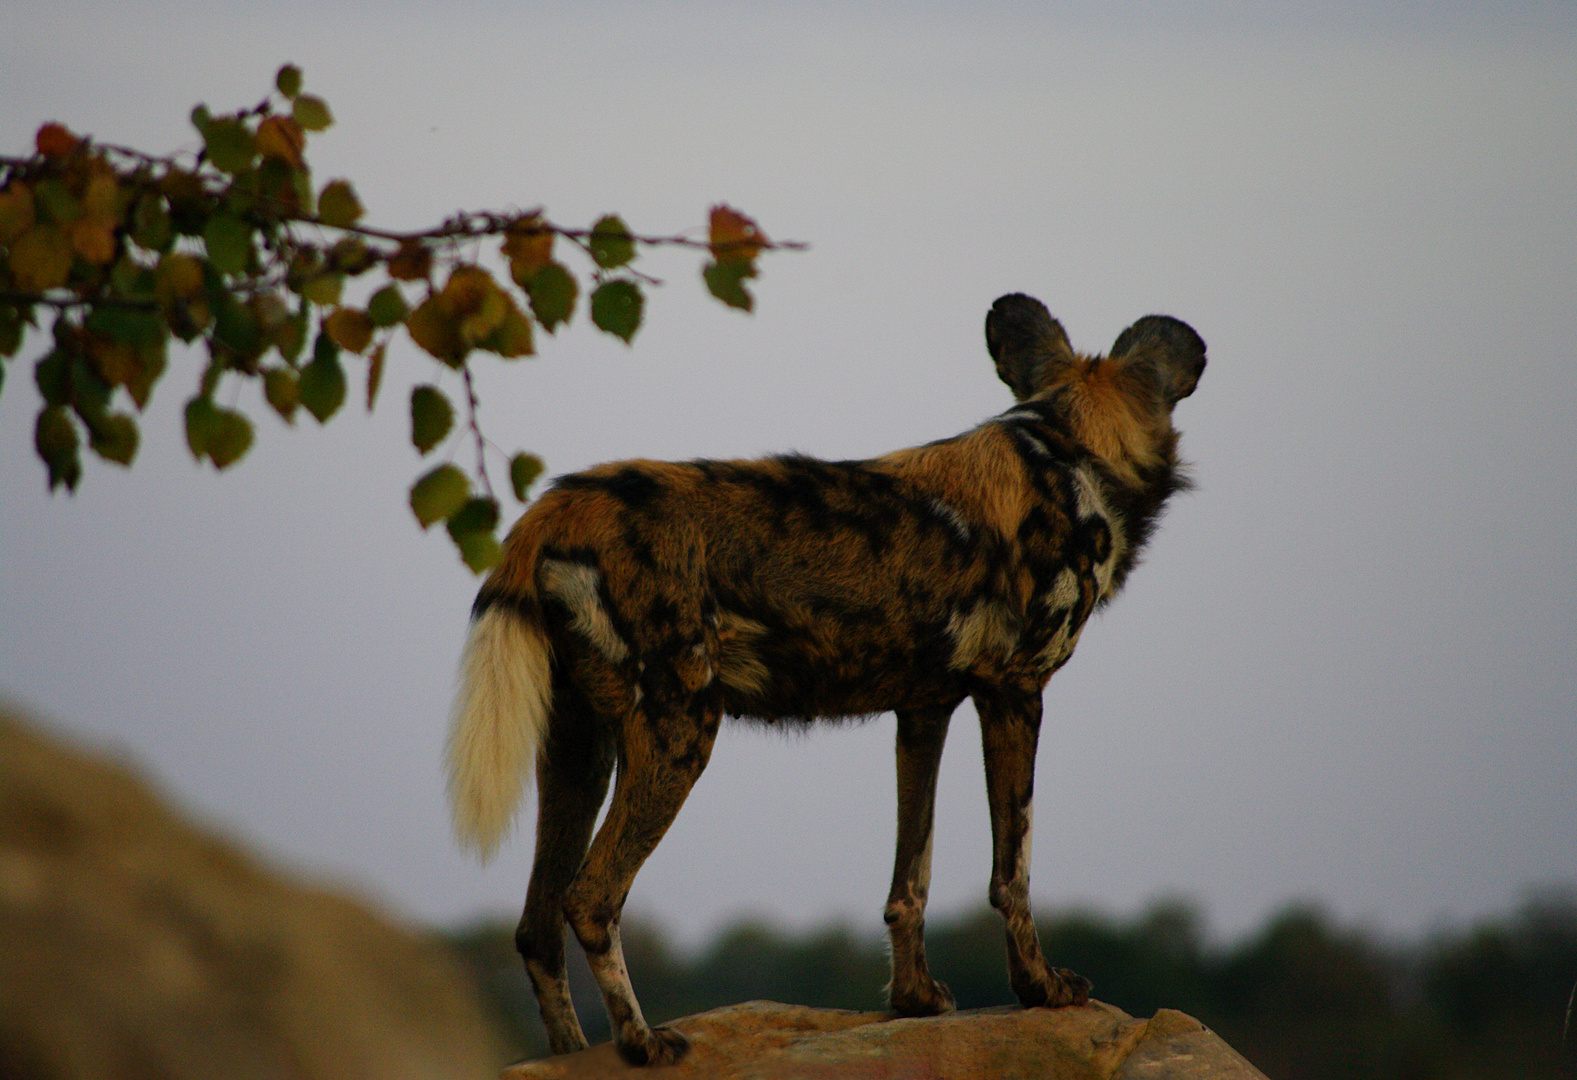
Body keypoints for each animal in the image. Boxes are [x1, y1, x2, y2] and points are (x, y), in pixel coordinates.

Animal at [444, 293, 1204, 1059]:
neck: (1067, 448)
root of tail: (554, 508)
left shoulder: (924, 712)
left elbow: (911, 877)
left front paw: (914, 1000)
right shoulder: (1015, 693)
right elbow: (1010, 872)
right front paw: (1040, 988)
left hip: (579, 750)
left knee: (537, 924)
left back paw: (573, 1053)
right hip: (680, 733)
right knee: (591, 898)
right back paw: (642, 1043)